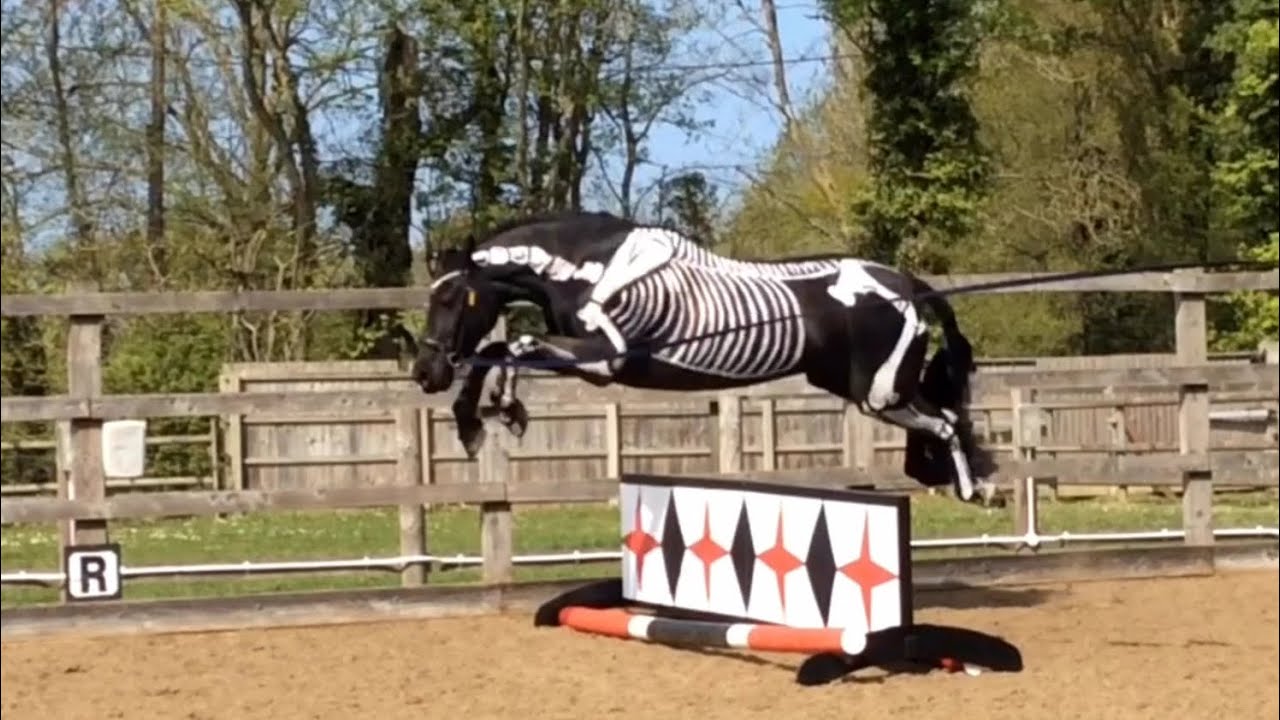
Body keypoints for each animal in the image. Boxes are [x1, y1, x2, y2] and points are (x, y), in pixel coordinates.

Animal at [410, 210, 997, 503]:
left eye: (450, 297)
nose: (424, 372)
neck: (587, 266)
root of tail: (908, 284)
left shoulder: (604, 359)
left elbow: (514, 347)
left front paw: (504, 410)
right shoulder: (585, 357)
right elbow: (495, 349)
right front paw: (474, 422)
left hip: (880, 393)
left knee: (947, 424)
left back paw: (977, 492)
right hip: (869, 387)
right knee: (947, 420)